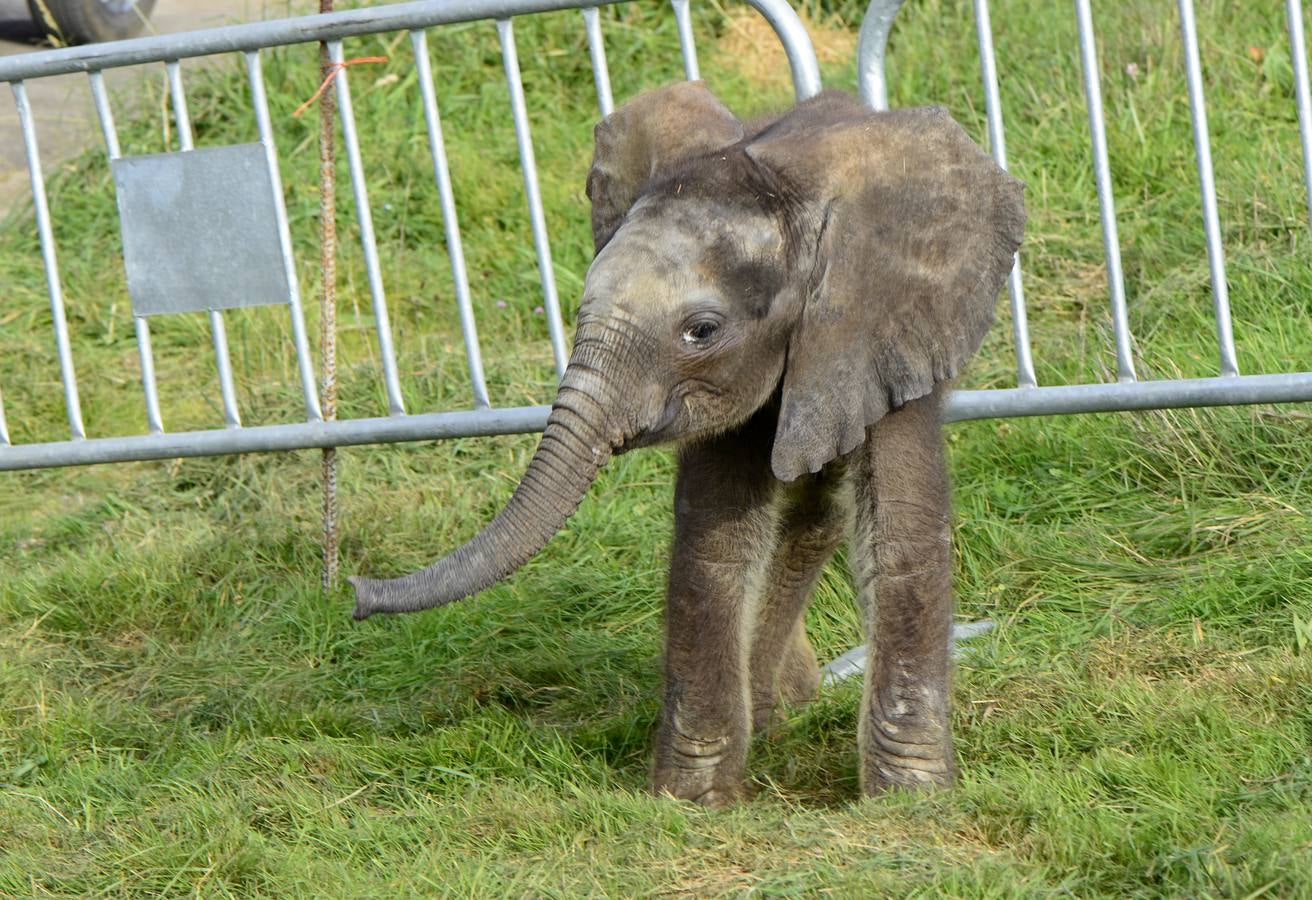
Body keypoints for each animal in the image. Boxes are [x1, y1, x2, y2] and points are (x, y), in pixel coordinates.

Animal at [354, 82, 1028, 802]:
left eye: (701, 330)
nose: (354, 593)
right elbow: (715, 540)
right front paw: (695, 802)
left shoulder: (882, 323)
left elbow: (898, 531)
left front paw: (909, 803)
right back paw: (778, 709)